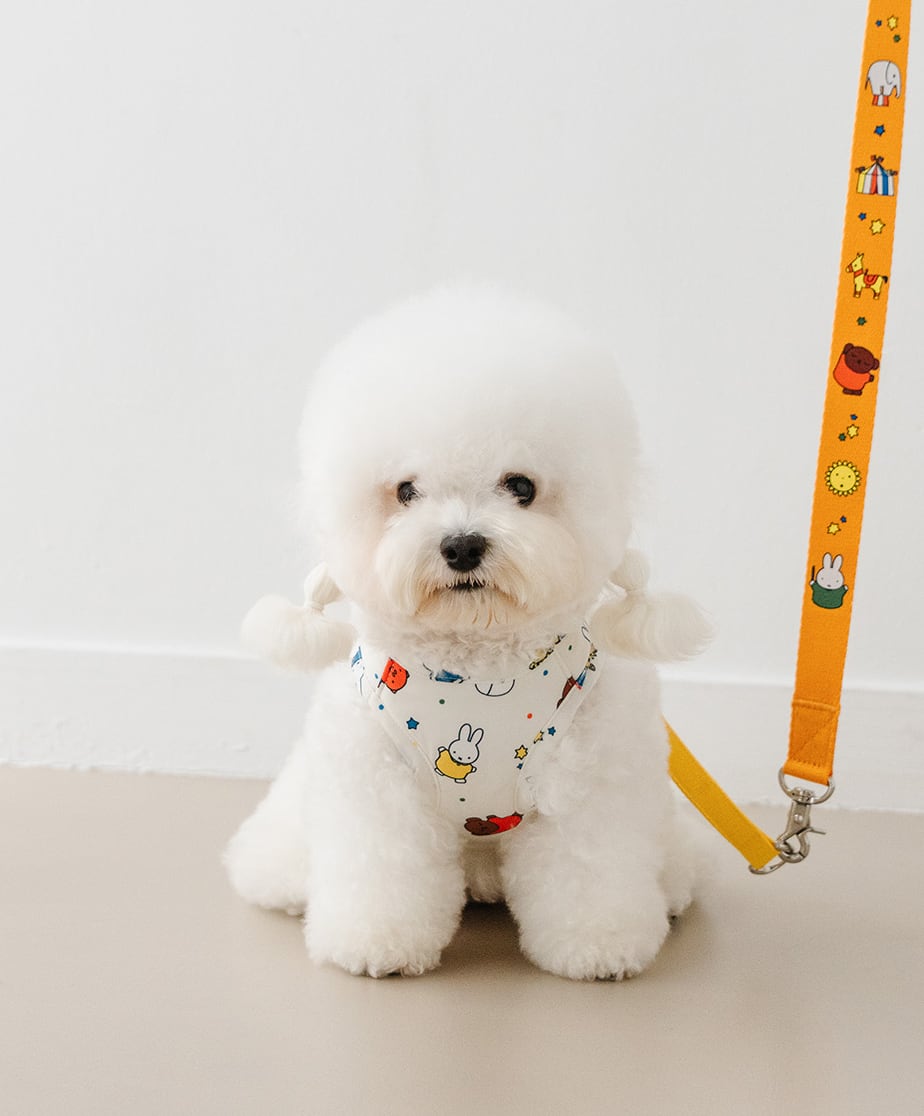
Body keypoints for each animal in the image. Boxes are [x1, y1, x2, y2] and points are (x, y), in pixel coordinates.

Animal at [225, 285, 710, 980]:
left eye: (521, 486)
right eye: (405, 491)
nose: (461, 545)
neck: (477, 664)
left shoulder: (594, 785)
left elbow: (589, 871)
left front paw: (599, 944)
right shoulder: (378, 789)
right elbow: (383, 870)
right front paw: (377, 942)